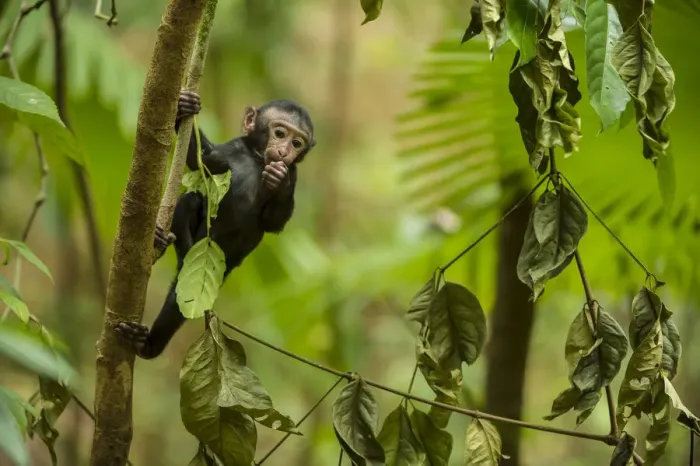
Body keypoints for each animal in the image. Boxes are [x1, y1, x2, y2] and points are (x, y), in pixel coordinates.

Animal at [115, 89, 316, 359]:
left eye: (297, 143)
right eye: (280, 133)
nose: (284, 151)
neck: (256, 158)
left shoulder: (294, 173)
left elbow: (273, 222)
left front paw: (279, 179)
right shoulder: (232, 150)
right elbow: (204, 159)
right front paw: (184, 107)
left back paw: (147, 345)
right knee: (190, 200)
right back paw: (165, 240)